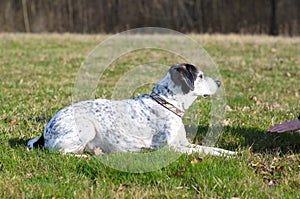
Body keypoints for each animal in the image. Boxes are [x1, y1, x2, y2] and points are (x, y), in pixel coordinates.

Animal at [27, 63, 236, 156]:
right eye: (200, 76)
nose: (219, 82)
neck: (167, 102)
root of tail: (44, 133)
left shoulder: (184, 143)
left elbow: (210, 148)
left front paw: (230, 153)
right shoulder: (170, 148)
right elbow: (204, 152)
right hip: (86, 128)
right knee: (61, 152)